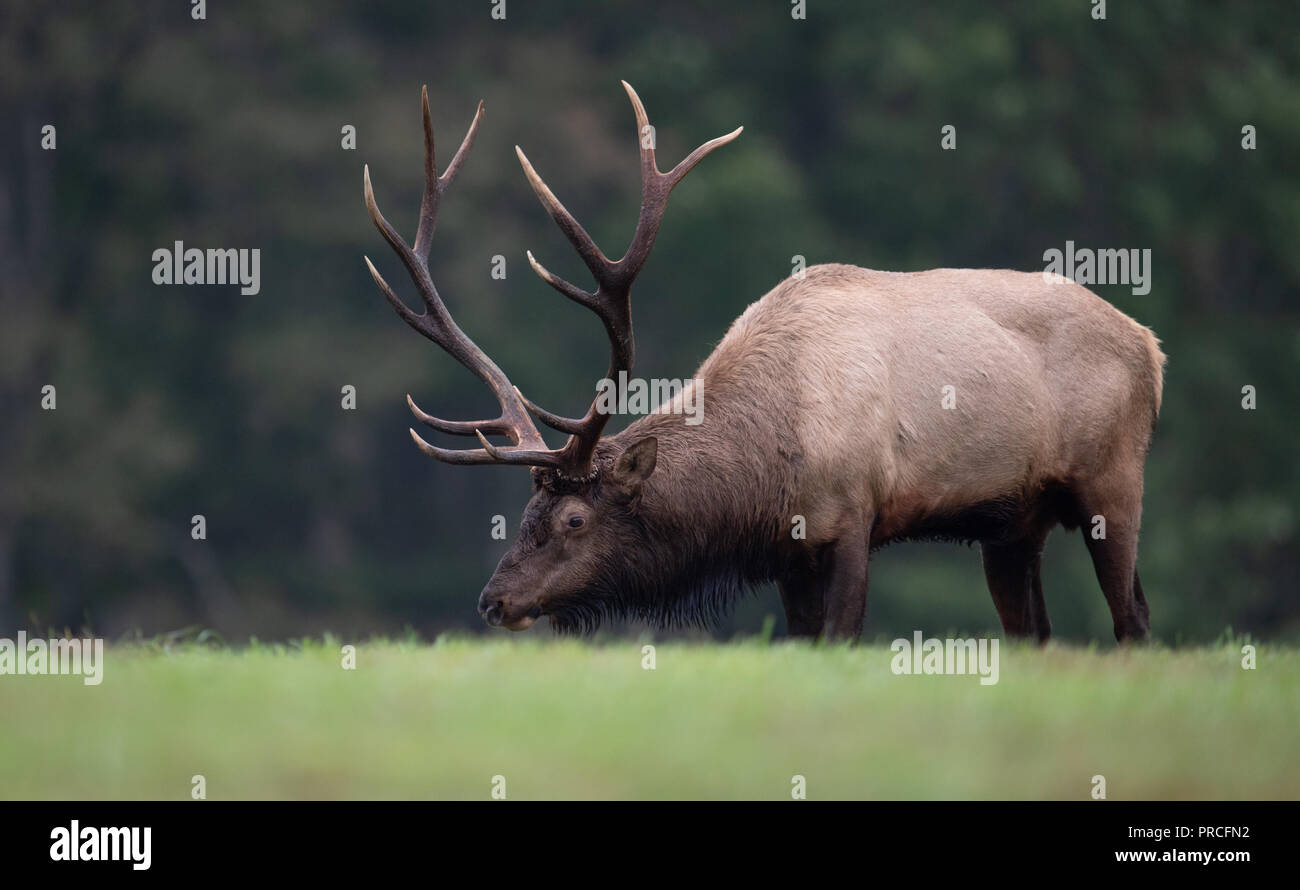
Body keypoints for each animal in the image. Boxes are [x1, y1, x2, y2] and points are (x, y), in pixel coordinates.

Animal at [362, 82, 1165, 643]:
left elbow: (843, 637)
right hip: (1013, 522)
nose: (493, 600)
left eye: (573, 520)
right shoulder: (789, 554)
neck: (768, 469)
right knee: (1037, 633)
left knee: (1133, 617)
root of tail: (1154, 350)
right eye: (525, 511)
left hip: (1114, 480)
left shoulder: (852, 514)